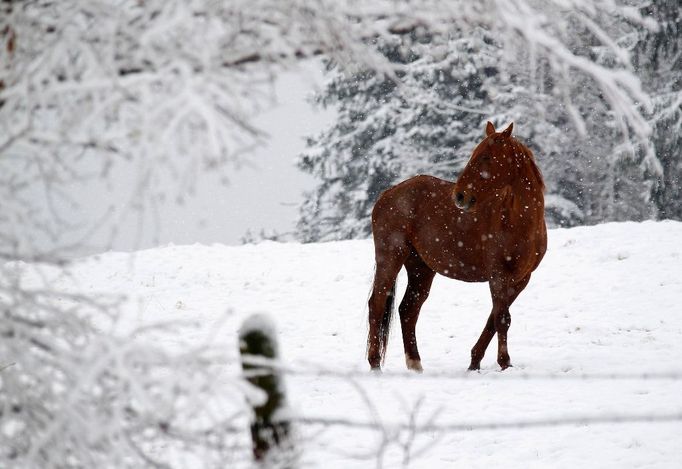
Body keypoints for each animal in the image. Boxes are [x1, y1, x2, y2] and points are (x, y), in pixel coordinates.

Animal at [364, 121, 544, 372]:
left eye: (486, 157)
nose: (460, 196)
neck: (516, 220)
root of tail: (387, 194)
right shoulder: (498, 275)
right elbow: (502, 318)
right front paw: (505, 362)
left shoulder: (521, 279)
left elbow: (493, 319)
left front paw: (475, 362)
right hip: (390, 257)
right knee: (377, 304)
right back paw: (375, 364)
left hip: (421, 268)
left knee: (408, 309)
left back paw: (415, 363)